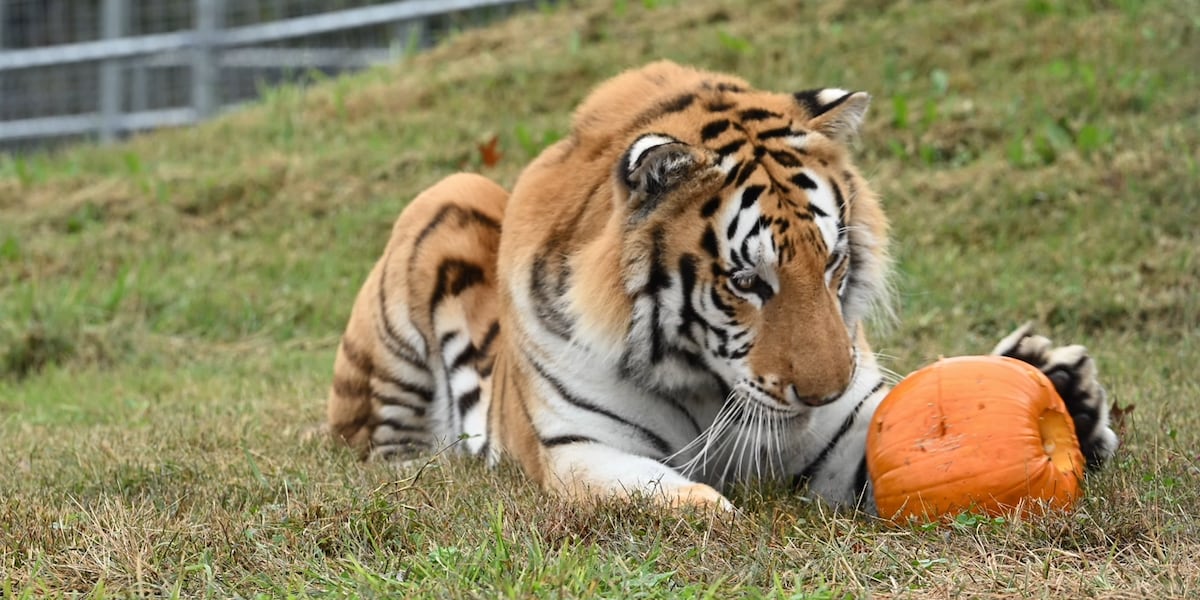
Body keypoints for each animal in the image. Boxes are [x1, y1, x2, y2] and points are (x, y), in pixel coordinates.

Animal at [324, 61, 1118, 512]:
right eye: (746, 281)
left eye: (832, 263)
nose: (823, 392)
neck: (705, 383)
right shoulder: (581, 448)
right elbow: (686, 505)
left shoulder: (855, 437)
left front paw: (1072, 404)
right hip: (438, 220)